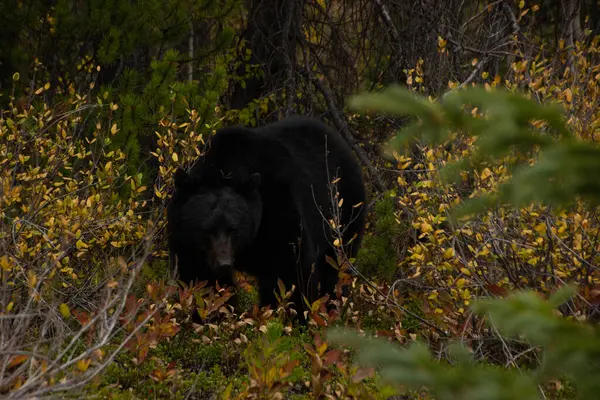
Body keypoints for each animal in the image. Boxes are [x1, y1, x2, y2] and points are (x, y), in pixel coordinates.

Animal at [166, 115, 368, 318]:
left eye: (233, 229)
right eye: (206, 230)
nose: (224, 263)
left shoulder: (277, 204)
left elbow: (289, 270)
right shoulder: (186, 240)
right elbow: (199, 280)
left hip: (343, 210)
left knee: (336, 266)